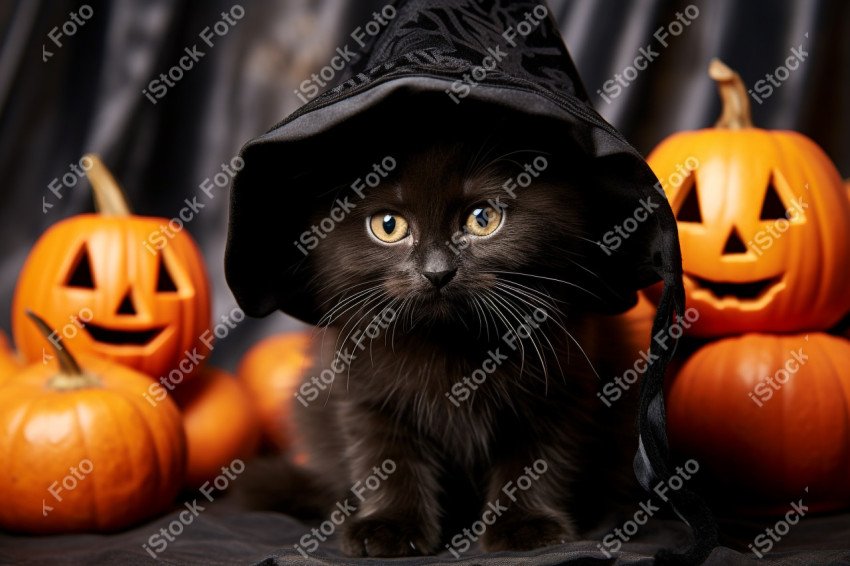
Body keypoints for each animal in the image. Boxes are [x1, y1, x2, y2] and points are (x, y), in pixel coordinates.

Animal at [292, 125, 636, 560]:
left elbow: (537, 462)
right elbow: (385, 460)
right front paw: (388, 526)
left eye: (483, 218)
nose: (437, 271)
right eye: (388, 226)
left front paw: (526, 526)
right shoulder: (366, 396)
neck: (452, 343)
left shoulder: (561, 390)